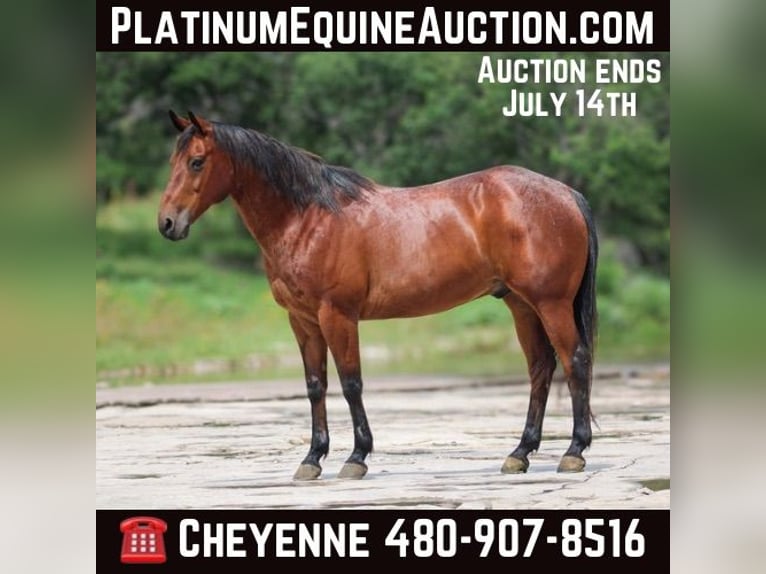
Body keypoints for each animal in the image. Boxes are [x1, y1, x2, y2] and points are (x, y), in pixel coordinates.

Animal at [158, 110, 598, 481]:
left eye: (197, 162)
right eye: (173, 162)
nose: (166, 223)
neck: (307, 219)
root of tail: (566, 194)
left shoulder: (337, 314)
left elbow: (351, 383)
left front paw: (356, 457)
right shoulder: (302, 321)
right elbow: (315, 385)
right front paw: (312, 459)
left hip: (550, 304)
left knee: (574, 360)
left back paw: (573, 452)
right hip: (521, 305)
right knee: (540, 367)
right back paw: (520, 453)